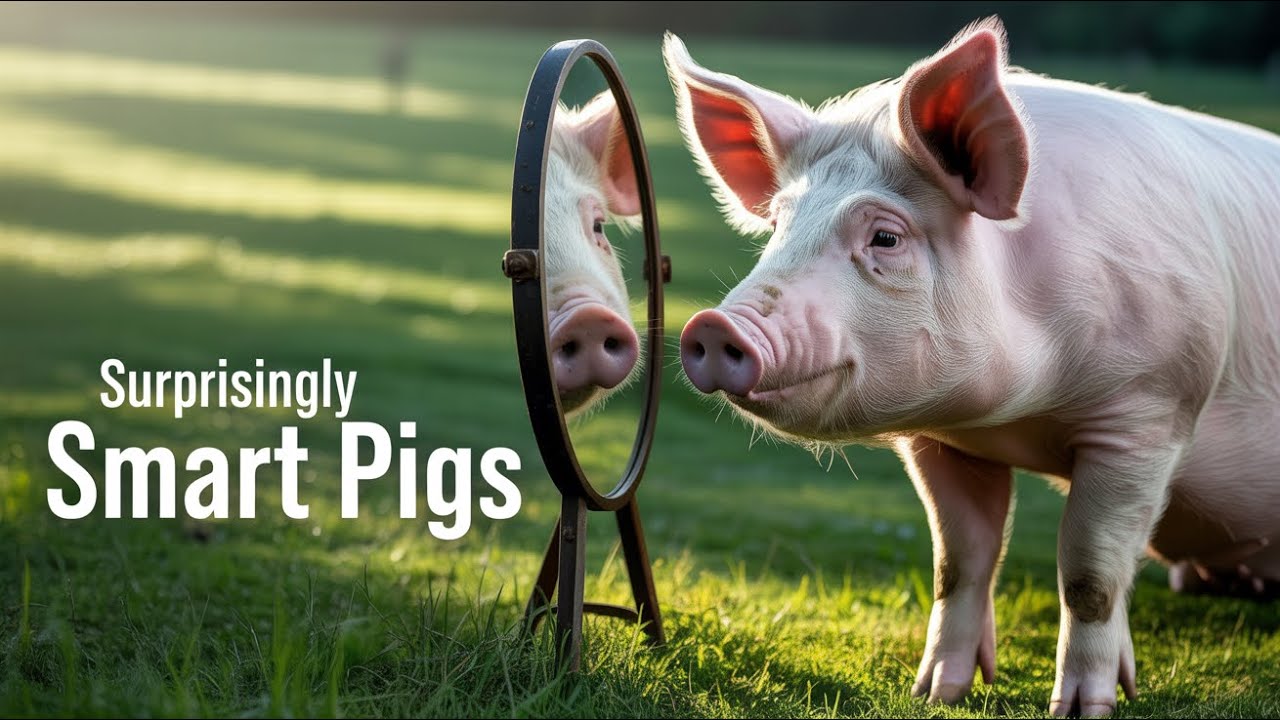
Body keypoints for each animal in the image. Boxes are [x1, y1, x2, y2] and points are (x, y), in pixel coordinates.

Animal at [665, 18, 1280, 717]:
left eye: (885, 237)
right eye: (777, 227)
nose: (713, 326)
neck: (1021, 414)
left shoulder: (1148, 411)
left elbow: (1090, 574)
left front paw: (1081, 708)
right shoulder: (947, 441)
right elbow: (956, 564)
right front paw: (936, 694)